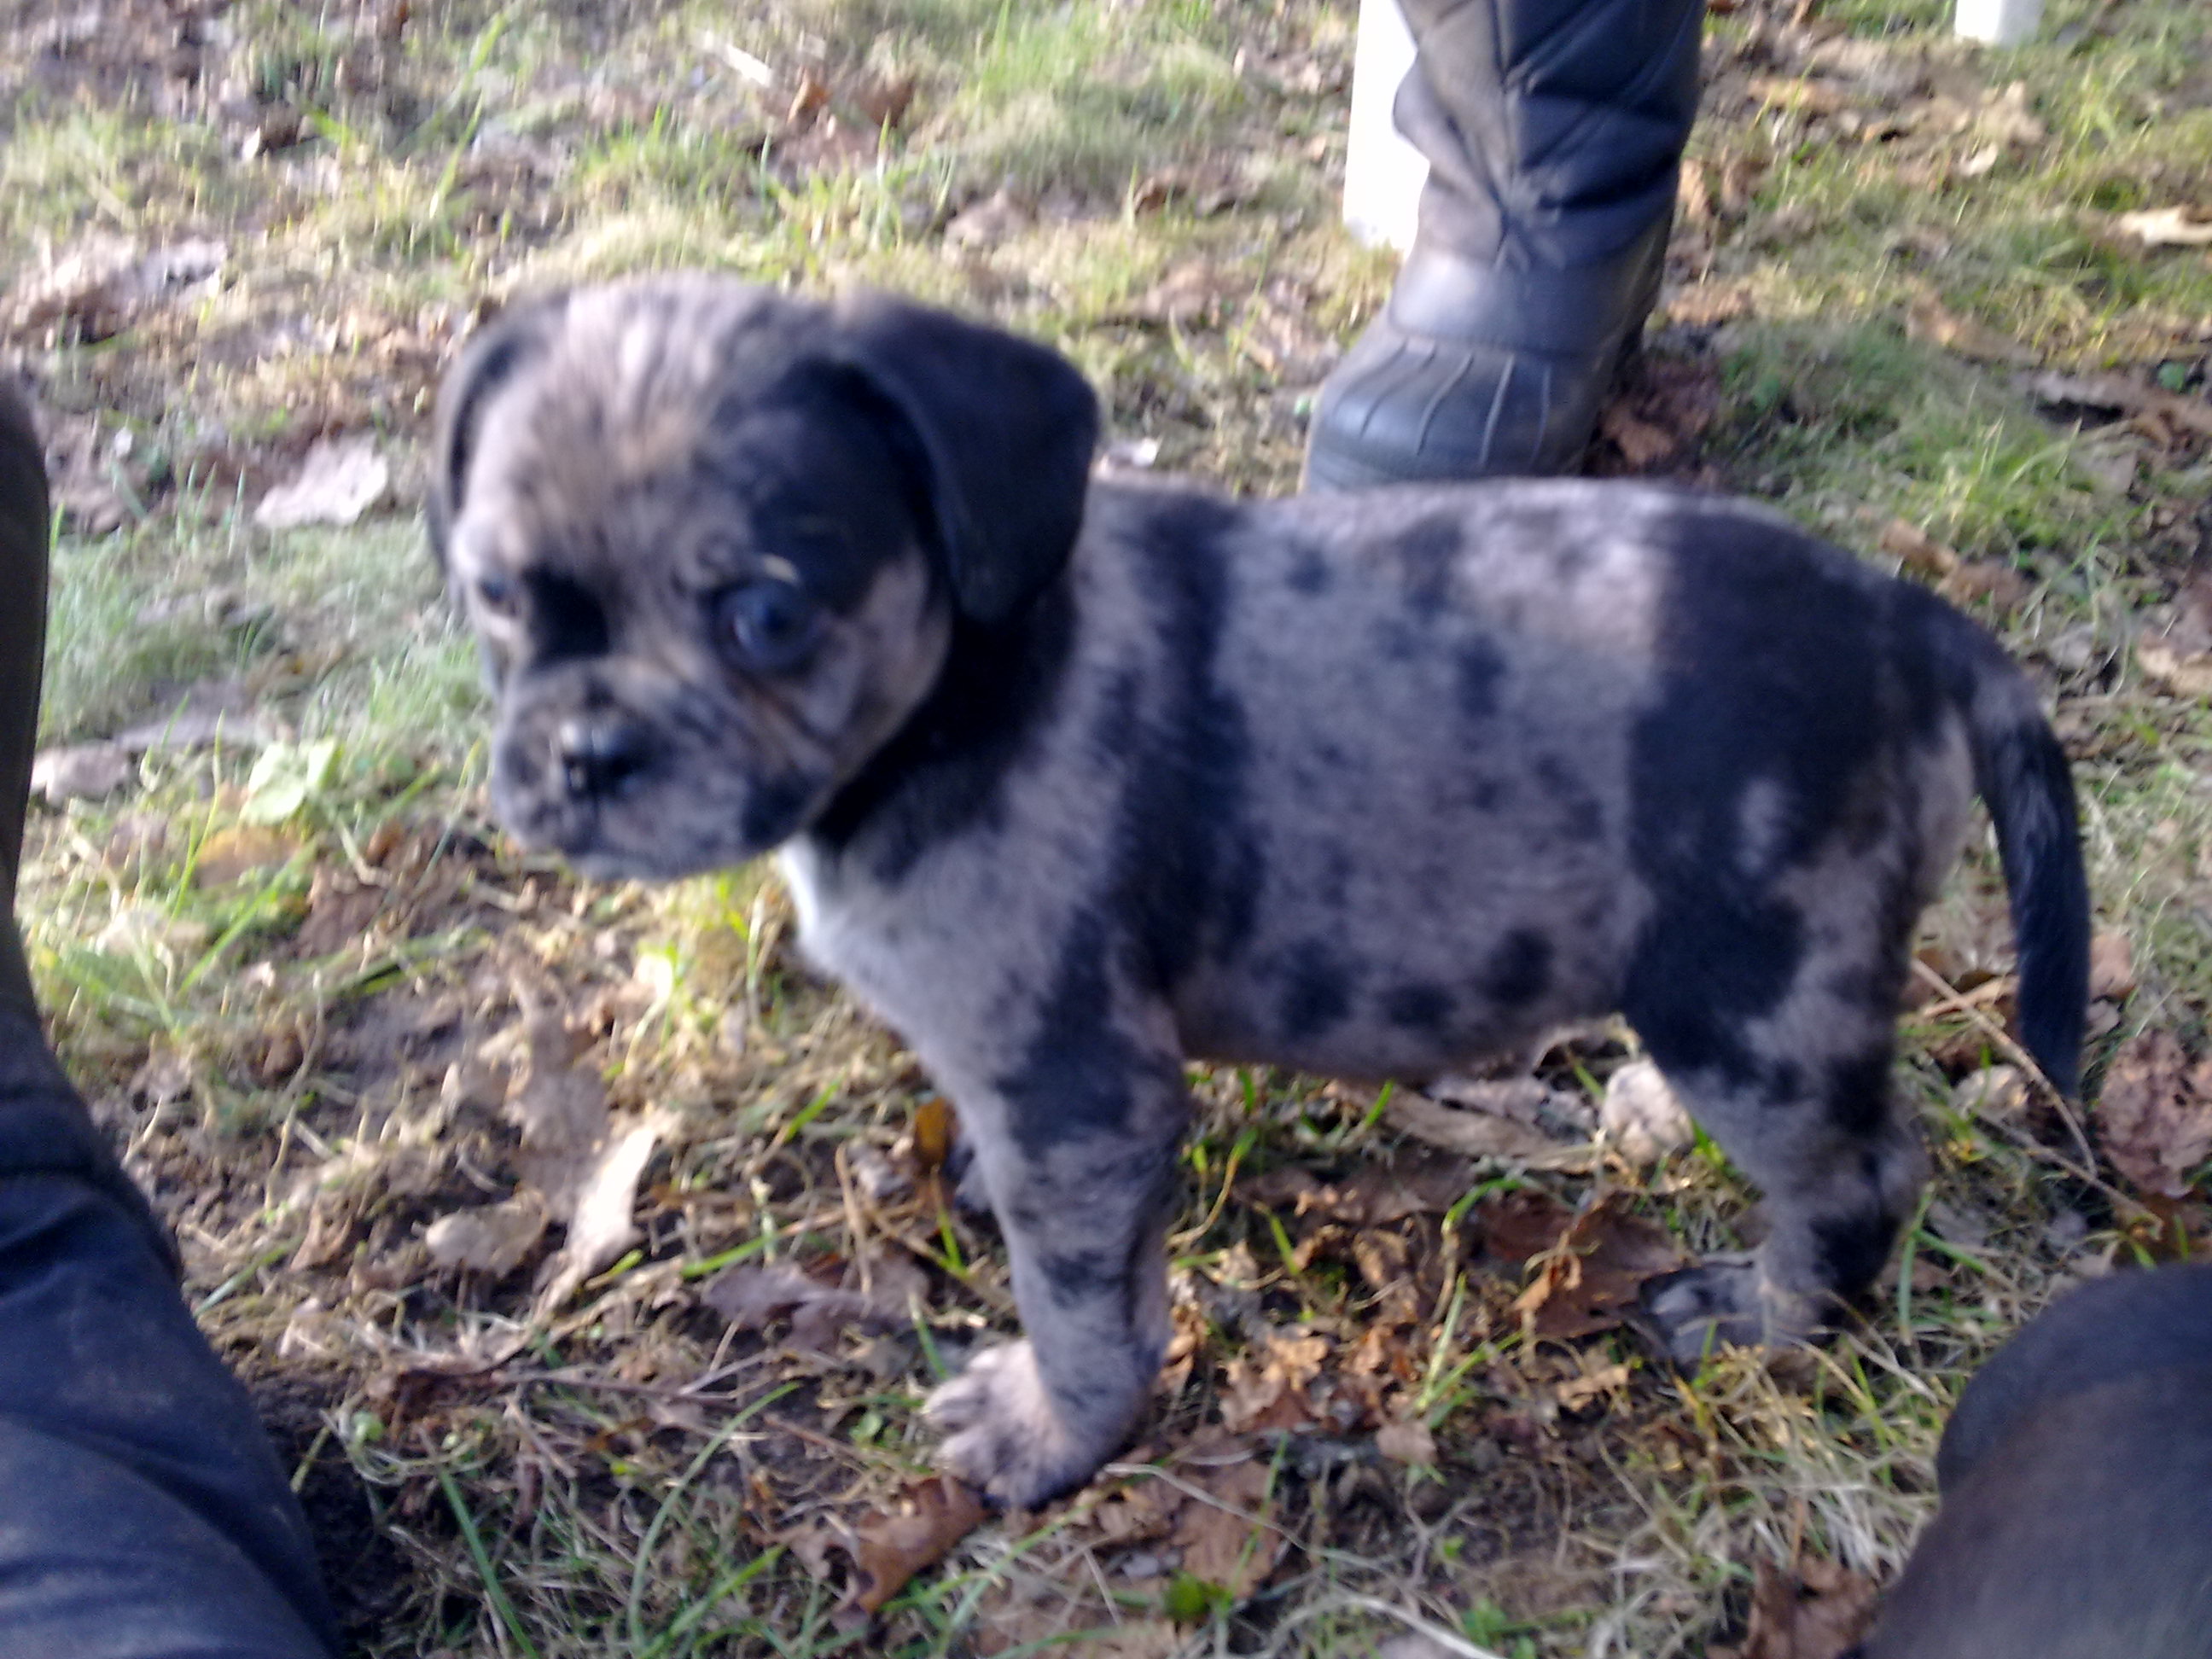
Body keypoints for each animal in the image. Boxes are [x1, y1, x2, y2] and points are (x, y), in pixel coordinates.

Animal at [427, 276, 2087, 1504]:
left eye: (764, 615)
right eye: (496, 594)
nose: (584, 755)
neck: (961, 688)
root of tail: (1919, 629)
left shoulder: (1084, 1089)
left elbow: (1078, 1301)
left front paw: (1050, 1434)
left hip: (1752, 998)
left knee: (1860, 1176)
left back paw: (1768, 1322)